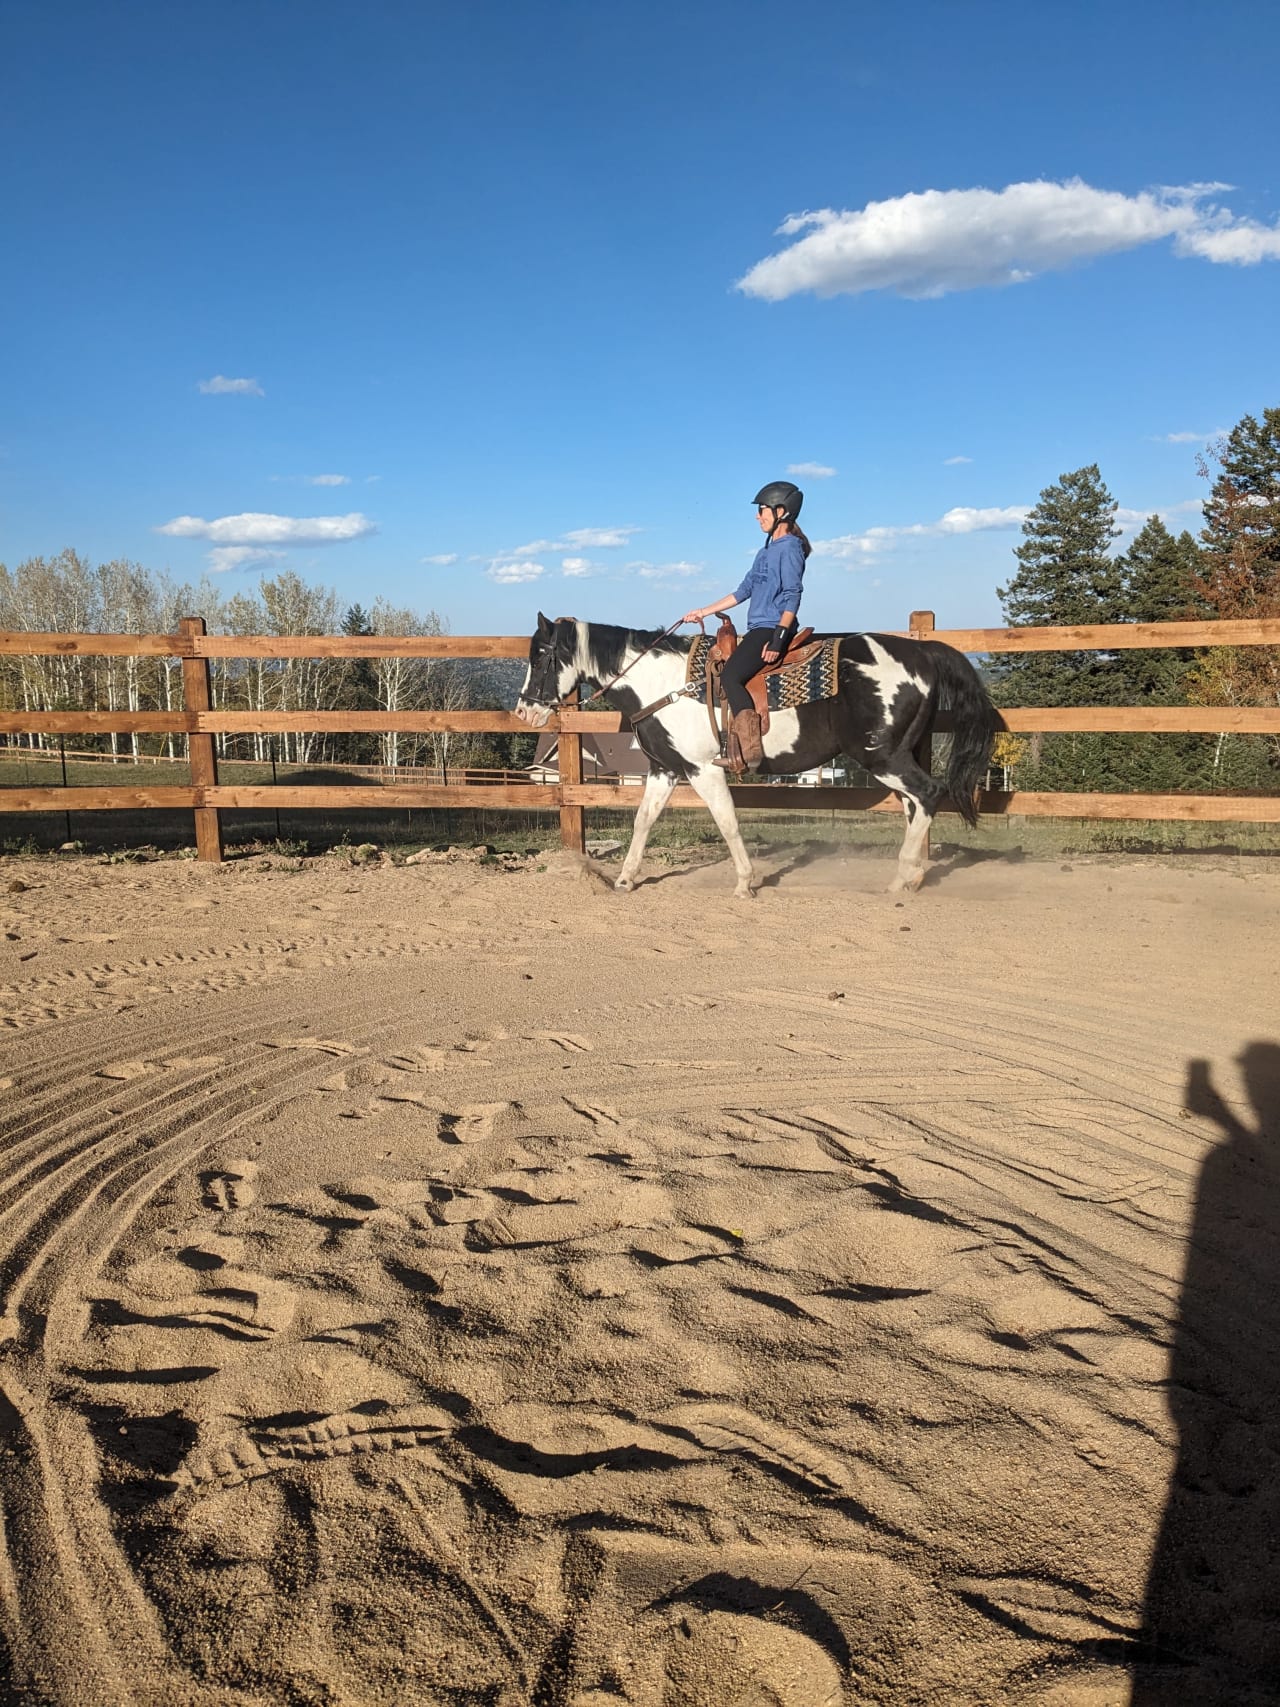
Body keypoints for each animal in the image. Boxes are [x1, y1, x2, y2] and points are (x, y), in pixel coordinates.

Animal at [515, 617, 1010, 908]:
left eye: (541, 656)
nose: (523, 711)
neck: (664, 684)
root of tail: (922, 652)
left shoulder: (703, 769)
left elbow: (728, 822)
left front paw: (744, 883)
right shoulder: (665, 769)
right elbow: (643, 821)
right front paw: (624, 880)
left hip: (882, 755)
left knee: (928, 794)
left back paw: (901, 879)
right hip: (897, 755)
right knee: (915, 805)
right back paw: (910, 875)